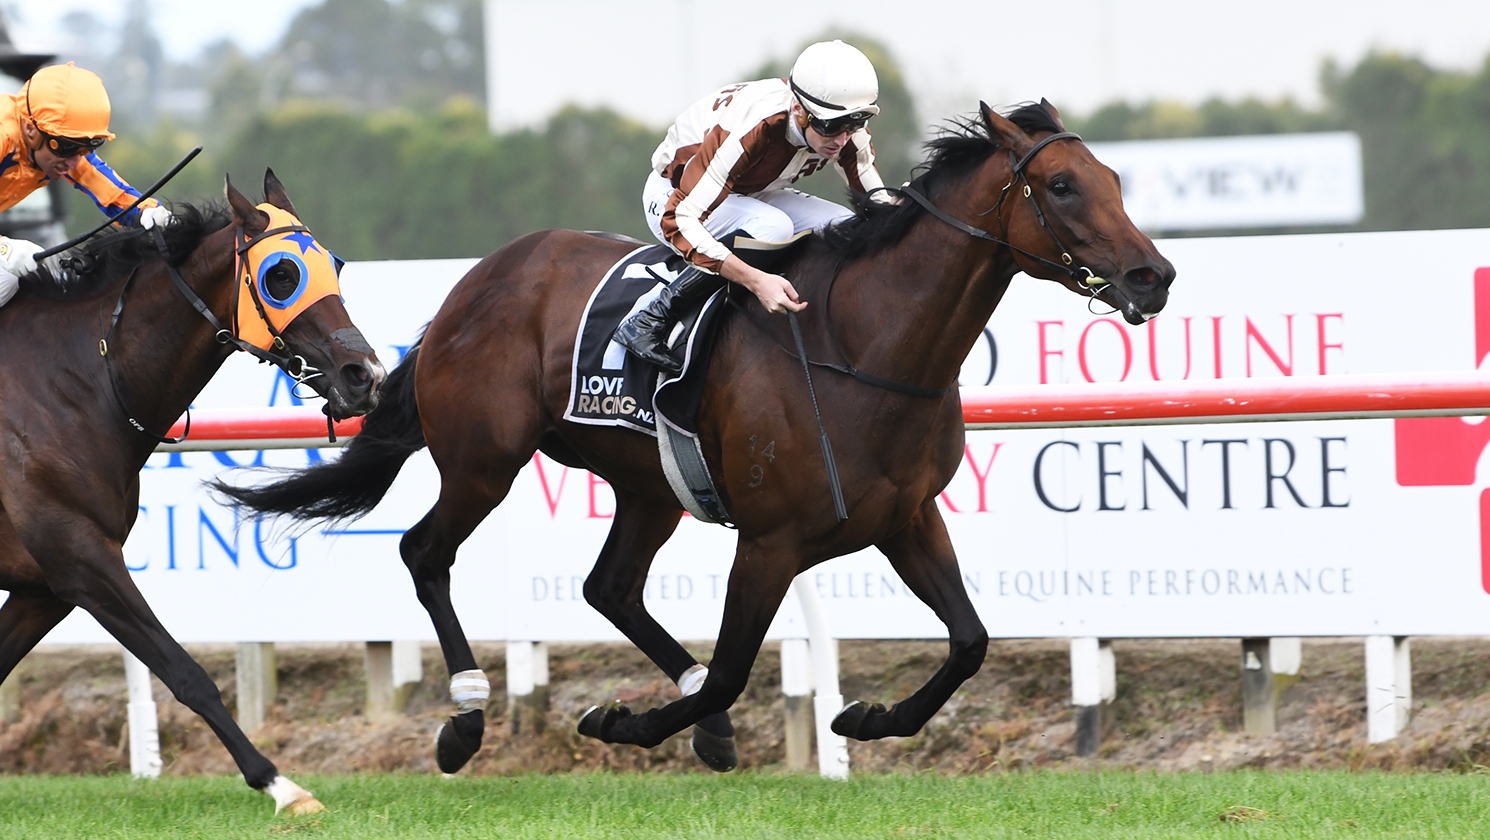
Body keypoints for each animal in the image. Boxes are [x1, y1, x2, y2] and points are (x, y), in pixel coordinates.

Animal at [0, 171, 385, 814]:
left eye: (334, 264)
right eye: (282, 275)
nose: (366, 377)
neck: (75, 380)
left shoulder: (44, 585)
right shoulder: (80, 558)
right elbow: (187, 673)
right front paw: (281, 785)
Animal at [213, 101, 1175, 774]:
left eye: (1114, 179)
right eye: (1062, 187)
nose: (1152, 276)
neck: (863, 344)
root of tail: (472, 284)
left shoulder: (905, 518)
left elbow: (970, 641)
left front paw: (865, 718)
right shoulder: (772, 540)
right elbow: (732, 668)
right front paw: (621, 720)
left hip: (646, 485)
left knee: (608, 586)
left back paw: (700, 729)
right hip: (484, 462)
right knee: (425, 553)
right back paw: (467, 717)